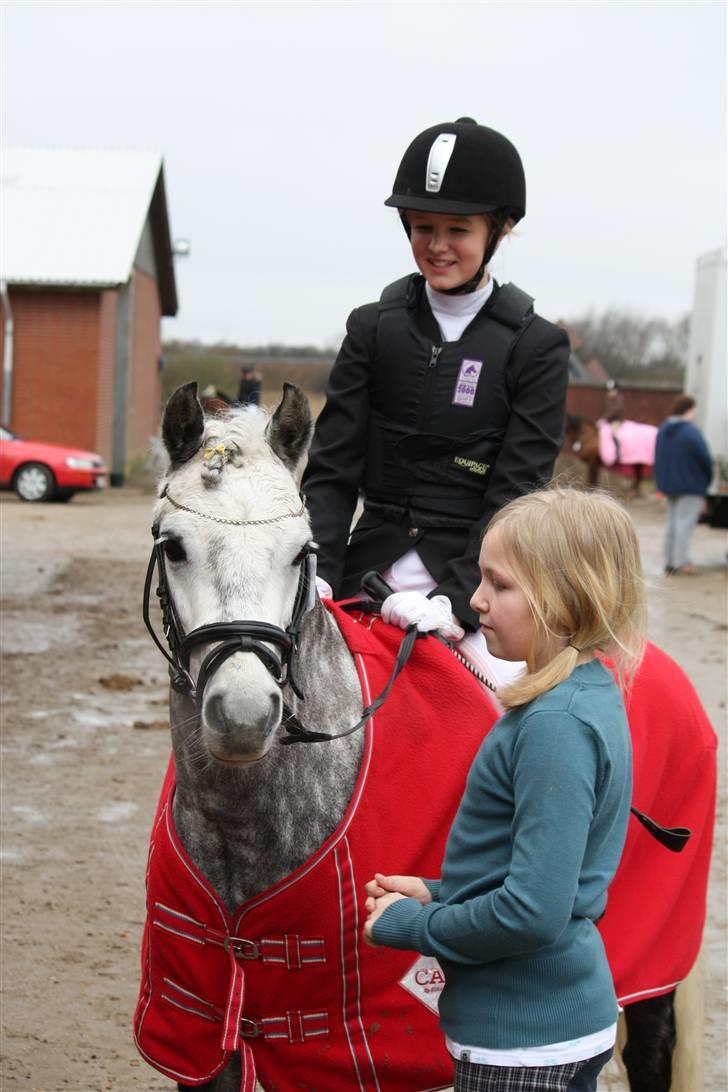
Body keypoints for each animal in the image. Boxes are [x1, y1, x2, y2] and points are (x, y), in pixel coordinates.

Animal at [135, 384, 715, 1092]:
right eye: (174, 546)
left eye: (301, 552)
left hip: (654, 964)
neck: (243, 828)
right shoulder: (206, 1038)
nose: (244, 713)